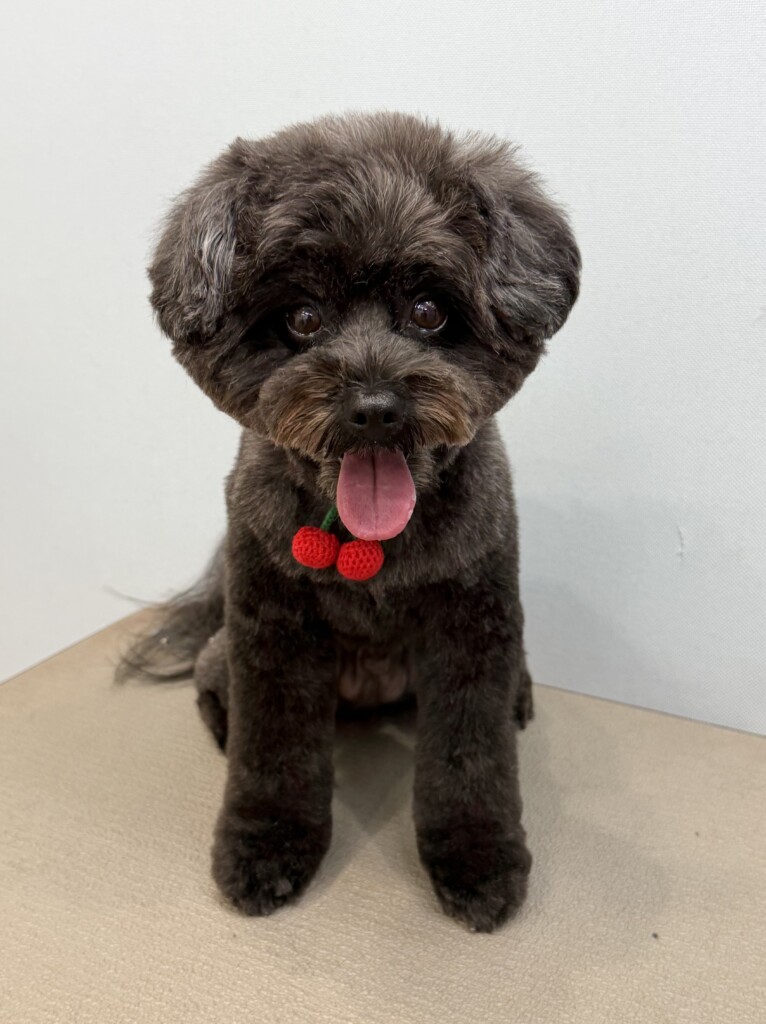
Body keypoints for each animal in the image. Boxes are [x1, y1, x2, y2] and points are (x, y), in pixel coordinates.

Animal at [119, 112, 580, 932]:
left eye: (429, 310)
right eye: (302, 318)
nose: (375, 408)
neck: (369, 544)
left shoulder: (473, 626)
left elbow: (471, 754)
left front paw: (478, 858)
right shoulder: (270, 628)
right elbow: (273, 753)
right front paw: (265, 847)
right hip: (227, 644)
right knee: (214, 685)